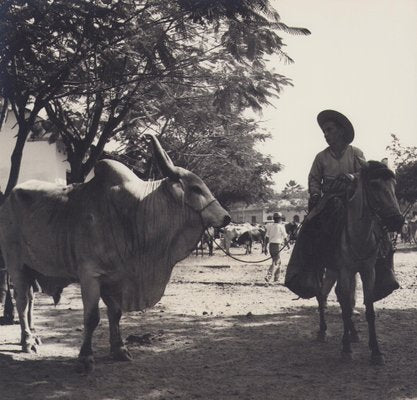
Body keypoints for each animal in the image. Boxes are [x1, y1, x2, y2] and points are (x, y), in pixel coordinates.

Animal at [316, 162, 404, 366]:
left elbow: (368, 309)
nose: (398, 220)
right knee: (323, 295)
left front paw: (376, 352)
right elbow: (346, 308)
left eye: (393, 185)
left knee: (341, 297)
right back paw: (323, 331)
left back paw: (353, 334)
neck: (359, 236)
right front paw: (346, 349)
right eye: (374, 185)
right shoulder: (345, 270)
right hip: (333, 270)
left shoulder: (367, 271)